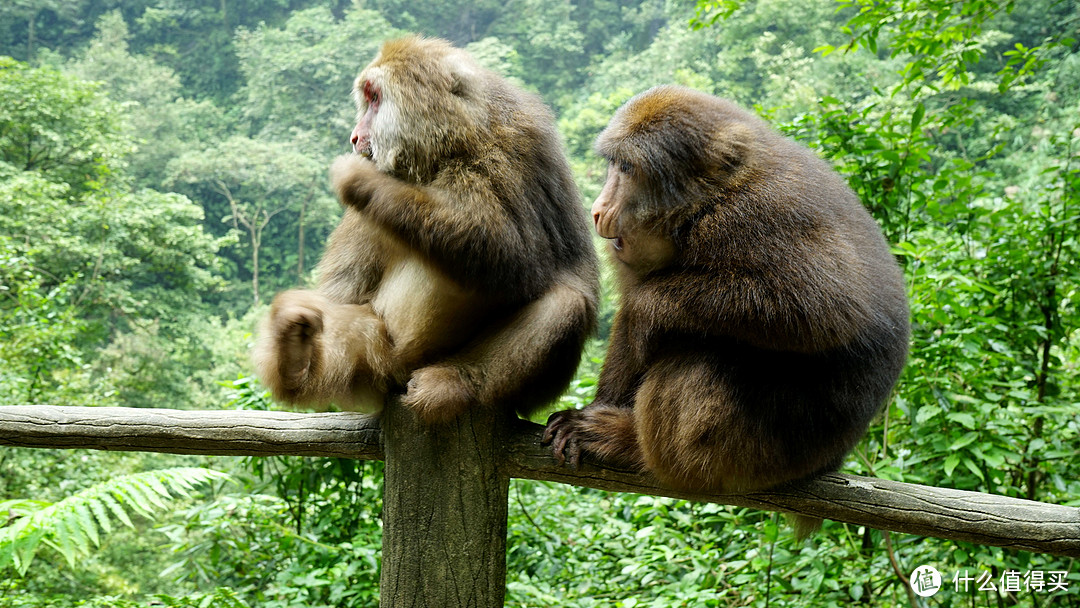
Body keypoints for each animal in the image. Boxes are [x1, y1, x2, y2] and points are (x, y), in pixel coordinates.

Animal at [258, 34, 604, 423]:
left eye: (375, 98)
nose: (354, 136)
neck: (447, 149)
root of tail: (402, 371)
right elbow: (342, 294)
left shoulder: (519, 149)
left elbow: (519, 260)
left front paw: (363, 182)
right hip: (382, 355)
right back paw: (296, 357)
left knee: (564, 304)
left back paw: (457, 381)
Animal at [544, 85, 907, 505]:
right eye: (614, 165)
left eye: (629, 170)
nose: (598, 208)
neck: (707, 205)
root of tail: (829, 462)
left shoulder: (754, 215)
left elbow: (830, 309)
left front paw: (646, 308)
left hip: (751, 457)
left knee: (699, 358)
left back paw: (630, 442)